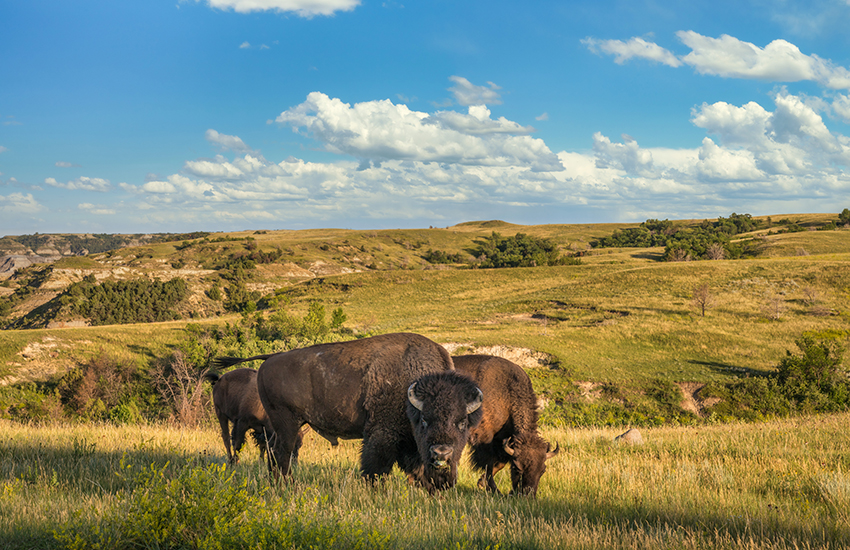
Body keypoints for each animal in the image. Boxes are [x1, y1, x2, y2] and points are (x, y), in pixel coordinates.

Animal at [215, 334, 480, 494]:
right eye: (425, 420)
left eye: (462, 422)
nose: (442, 453)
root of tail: (271, 357)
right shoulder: (382, 432)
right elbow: (376, 464)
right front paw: (374, 489)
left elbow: (412, 464)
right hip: (287, 422)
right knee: (282, 452)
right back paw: (288, 485)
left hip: (281, 424)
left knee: (272, 450)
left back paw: (276, 483)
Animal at [450, 356, 556, 498]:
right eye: (517, 468)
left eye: (542, 470)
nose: (528, 495)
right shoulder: (484, 438)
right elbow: (488, 465)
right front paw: (494, 490)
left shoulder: (502, 440)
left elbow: (500, 463)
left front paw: (481, 482)